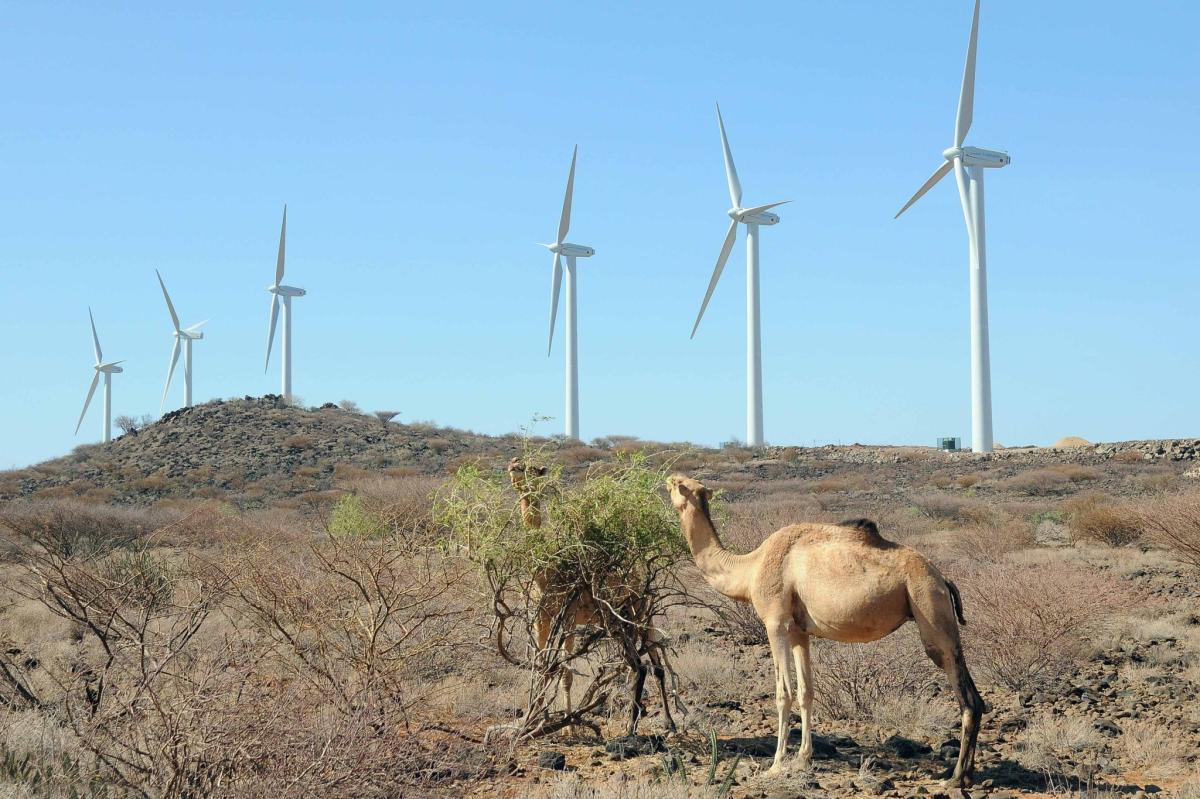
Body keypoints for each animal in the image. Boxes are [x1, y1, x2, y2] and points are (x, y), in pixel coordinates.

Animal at [504, 453, 676, 734]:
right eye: (516, 461)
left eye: (533, 468)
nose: (513, 467)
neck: (544, 573)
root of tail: (641, 578)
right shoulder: (541, 617)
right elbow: (541, 666)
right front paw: (537, 719)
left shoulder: (569, 618)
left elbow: (566, 672)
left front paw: (569, 727)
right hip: (632, 619)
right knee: (653, 664)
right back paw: (664, 722)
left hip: (639, 615)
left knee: (649, 664)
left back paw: (646, 724)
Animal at [667, 472, 984, 782]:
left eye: (678, 484)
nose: (667, 478)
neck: (749, 568)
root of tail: (943, 578)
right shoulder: (799, 630)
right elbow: (806, 691)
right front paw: (803, 758)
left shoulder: (775, 622)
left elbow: (783, 693)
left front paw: (777, 764)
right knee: (975, 698)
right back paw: (965, 774)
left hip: (929, 606)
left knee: (967, 697)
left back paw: (957, 777)